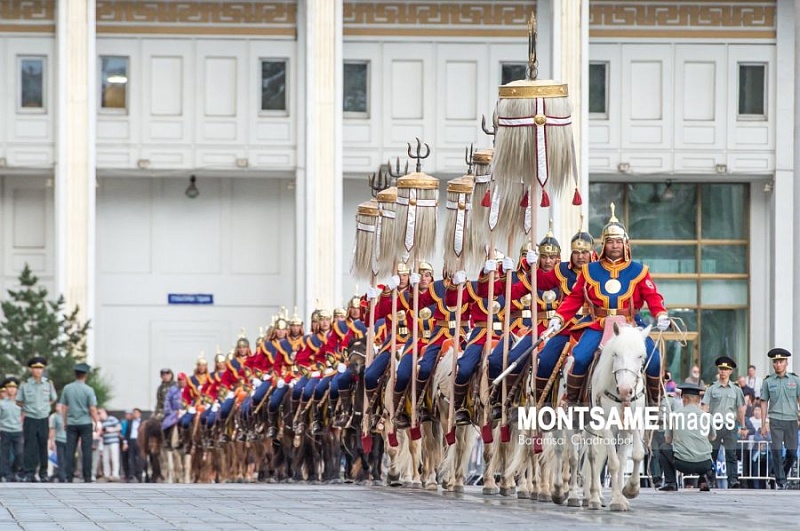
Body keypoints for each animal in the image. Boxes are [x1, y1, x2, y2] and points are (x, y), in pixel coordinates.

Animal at [580, 322, 648, 512]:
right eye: (615, 354)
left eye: (640, 356)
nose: (625, 390)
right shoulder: (605, 423)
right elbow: (613, 462)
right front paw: (617, 499)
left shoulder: (634, 421)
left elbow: (635, 455)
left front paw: (629, 491)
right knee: (591, 456)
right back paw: (589, 497)